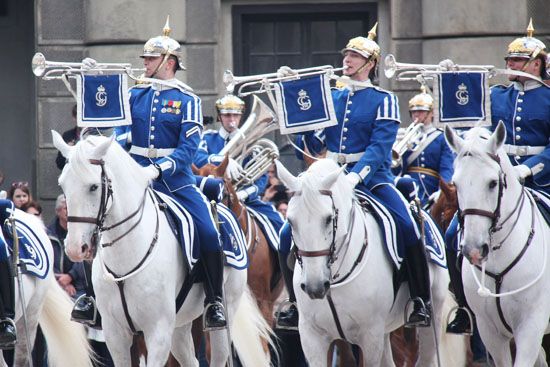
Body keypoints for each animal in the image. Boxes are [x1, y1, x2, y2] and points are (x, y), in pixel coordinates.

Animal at [54, 132, 274, 367]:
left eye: (94, 187)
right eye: (62, 185)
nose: (75, 248)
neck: (126, 256)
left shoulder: (157, 332)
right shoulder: (116, 334)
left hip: (224, 314)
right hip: (180, 324)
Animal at [276, 160, 452, 367]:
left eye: (328, 219)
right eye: (290, 221)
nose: (315, 287)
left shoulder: (370, 335)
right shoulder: (312, 336)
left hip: (433, 316)